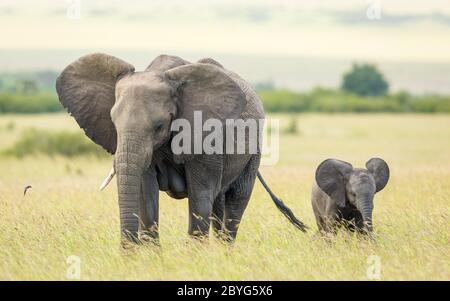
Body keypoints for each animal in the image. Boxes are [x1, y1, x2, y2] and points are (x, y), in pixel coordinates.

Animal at [54, 54, 304, 245]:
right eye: (113, 123)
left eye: (159, 126)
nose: (128, 250)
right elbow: (146, 195)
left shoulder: (205, 137)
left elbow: (200, 198)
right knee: (219, 205)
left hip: (254, 151)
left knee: (235, 201)